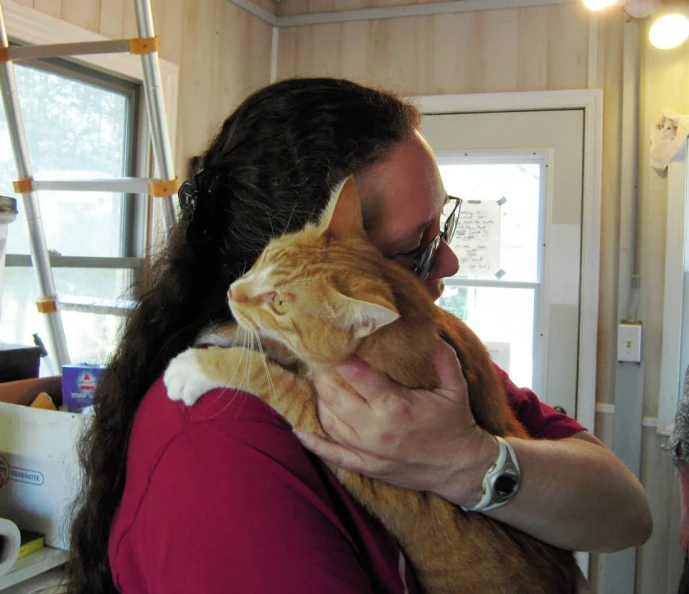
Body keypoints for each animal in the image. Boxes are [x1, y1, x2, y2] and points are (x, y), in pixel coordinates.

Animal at [165, 177, 584, 592]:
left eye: (280, 303)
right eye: (265, 256)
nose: (232, 292)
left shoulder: (328, 424)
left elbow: (267, 377)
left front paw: (193, 368)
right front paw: (223, 331)